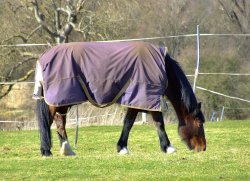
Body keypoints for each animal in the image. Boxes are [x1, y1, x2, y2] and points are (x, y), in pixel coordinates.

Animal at [32, 41, 205, 156]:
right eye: (198, 123)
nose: (203, 148)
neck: (161, 67)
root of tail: (43, 58)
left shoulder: (139, 99)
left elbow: (129, 122)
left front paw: (122, 147)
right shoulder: (145, 97)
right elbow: (156, 123)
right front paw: (168, 147)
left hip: (61, 101)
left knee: (60, 122)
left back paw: (67, 150)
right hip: (56, 100)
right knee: (49, 122)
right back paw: (47, 151)